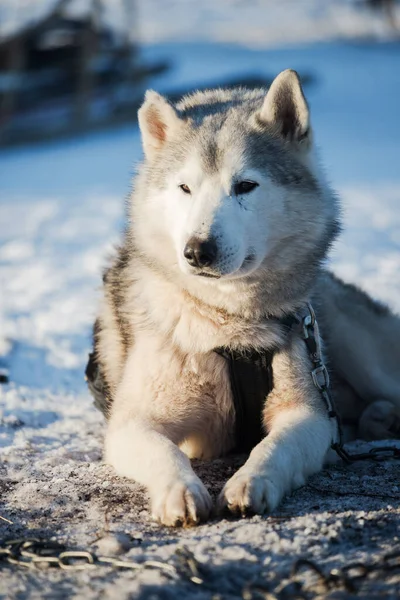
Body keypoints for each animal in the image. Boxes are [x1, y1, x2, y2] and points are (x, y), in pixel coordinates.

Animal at [89, 70, 400, 528]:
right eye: (184, 188)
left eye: (246, 186)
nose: (197, 251)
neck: (228, 322)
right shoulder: (133, 423)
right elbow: (163, 452)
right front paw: (179, 491)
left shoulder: (310, 415)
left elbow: (275, 447)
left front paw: (251, 482)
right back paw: (377, 418)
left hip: (362, 355)